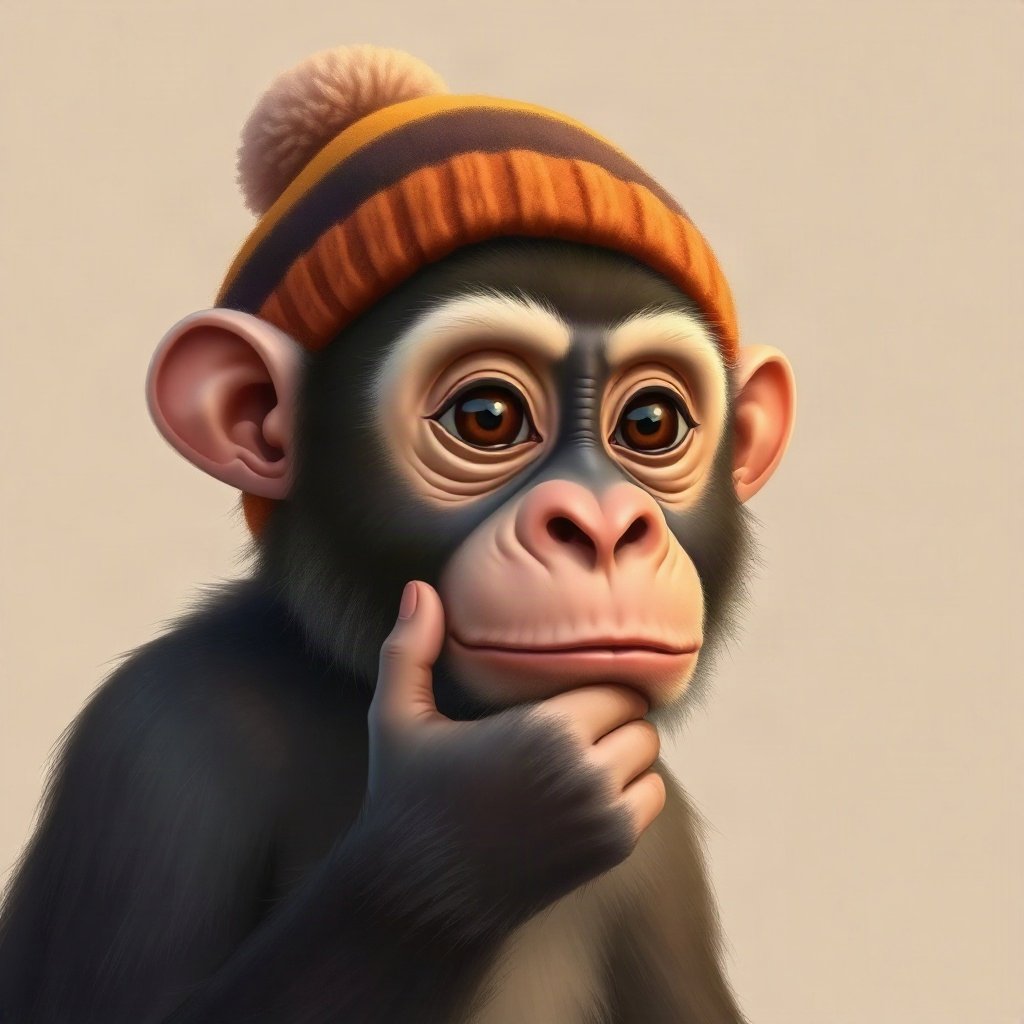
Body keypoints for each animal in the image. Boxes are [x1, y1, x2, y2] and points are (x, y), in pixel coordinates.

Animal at [0, 46, 796, 1024]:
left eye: (650, 423)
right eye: (487, 415)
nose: (604, 527)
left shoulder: (667, 846)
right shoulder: (155, 752)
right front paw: (481, 816)